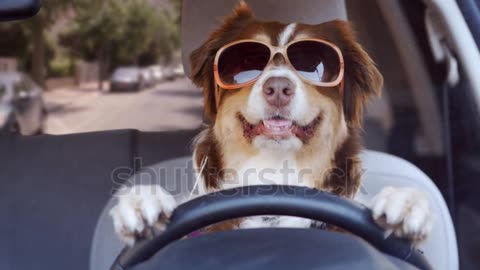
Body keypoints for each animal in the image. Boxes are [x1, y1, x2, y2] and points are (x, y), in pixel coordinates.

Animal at [109, 1, 432, 247]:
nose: (278, 88)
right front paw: (141, 201)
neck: (275, 174)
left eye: (316, 65)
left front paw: (405, 203)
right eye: (244, 62)